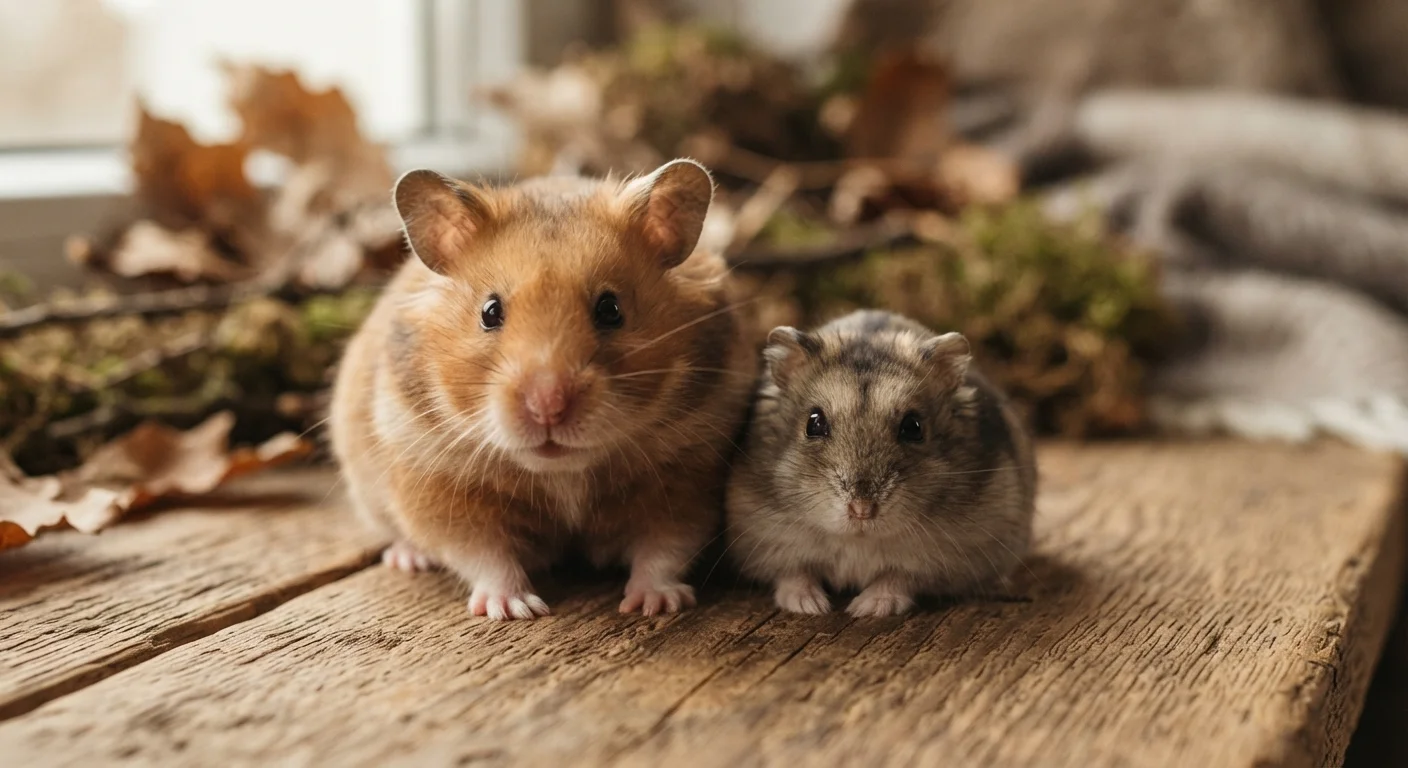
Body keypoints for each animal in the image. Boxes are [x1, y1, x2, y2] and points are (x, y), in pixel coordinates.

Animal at [329, 159, 758, 620]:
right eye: (490, 312)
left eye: (611, 309)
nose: (548, 407)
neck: (562, 473)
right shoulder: (438, 484)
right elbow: (483, 554)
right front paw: (515, 609)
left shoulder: (687, 477)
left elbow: (664, 547)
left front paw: (654, 605)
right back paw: (408, 558)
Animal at [724, 310, 1036, 617]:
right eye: (814, 423)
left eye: (913, 427)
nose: (862, 510)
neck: (857, 540)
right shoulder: (765, 539)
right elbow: (794, 574)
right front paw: (812, 607)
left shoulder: (954, 555)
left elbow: (898, 578)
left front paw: (863, 609)